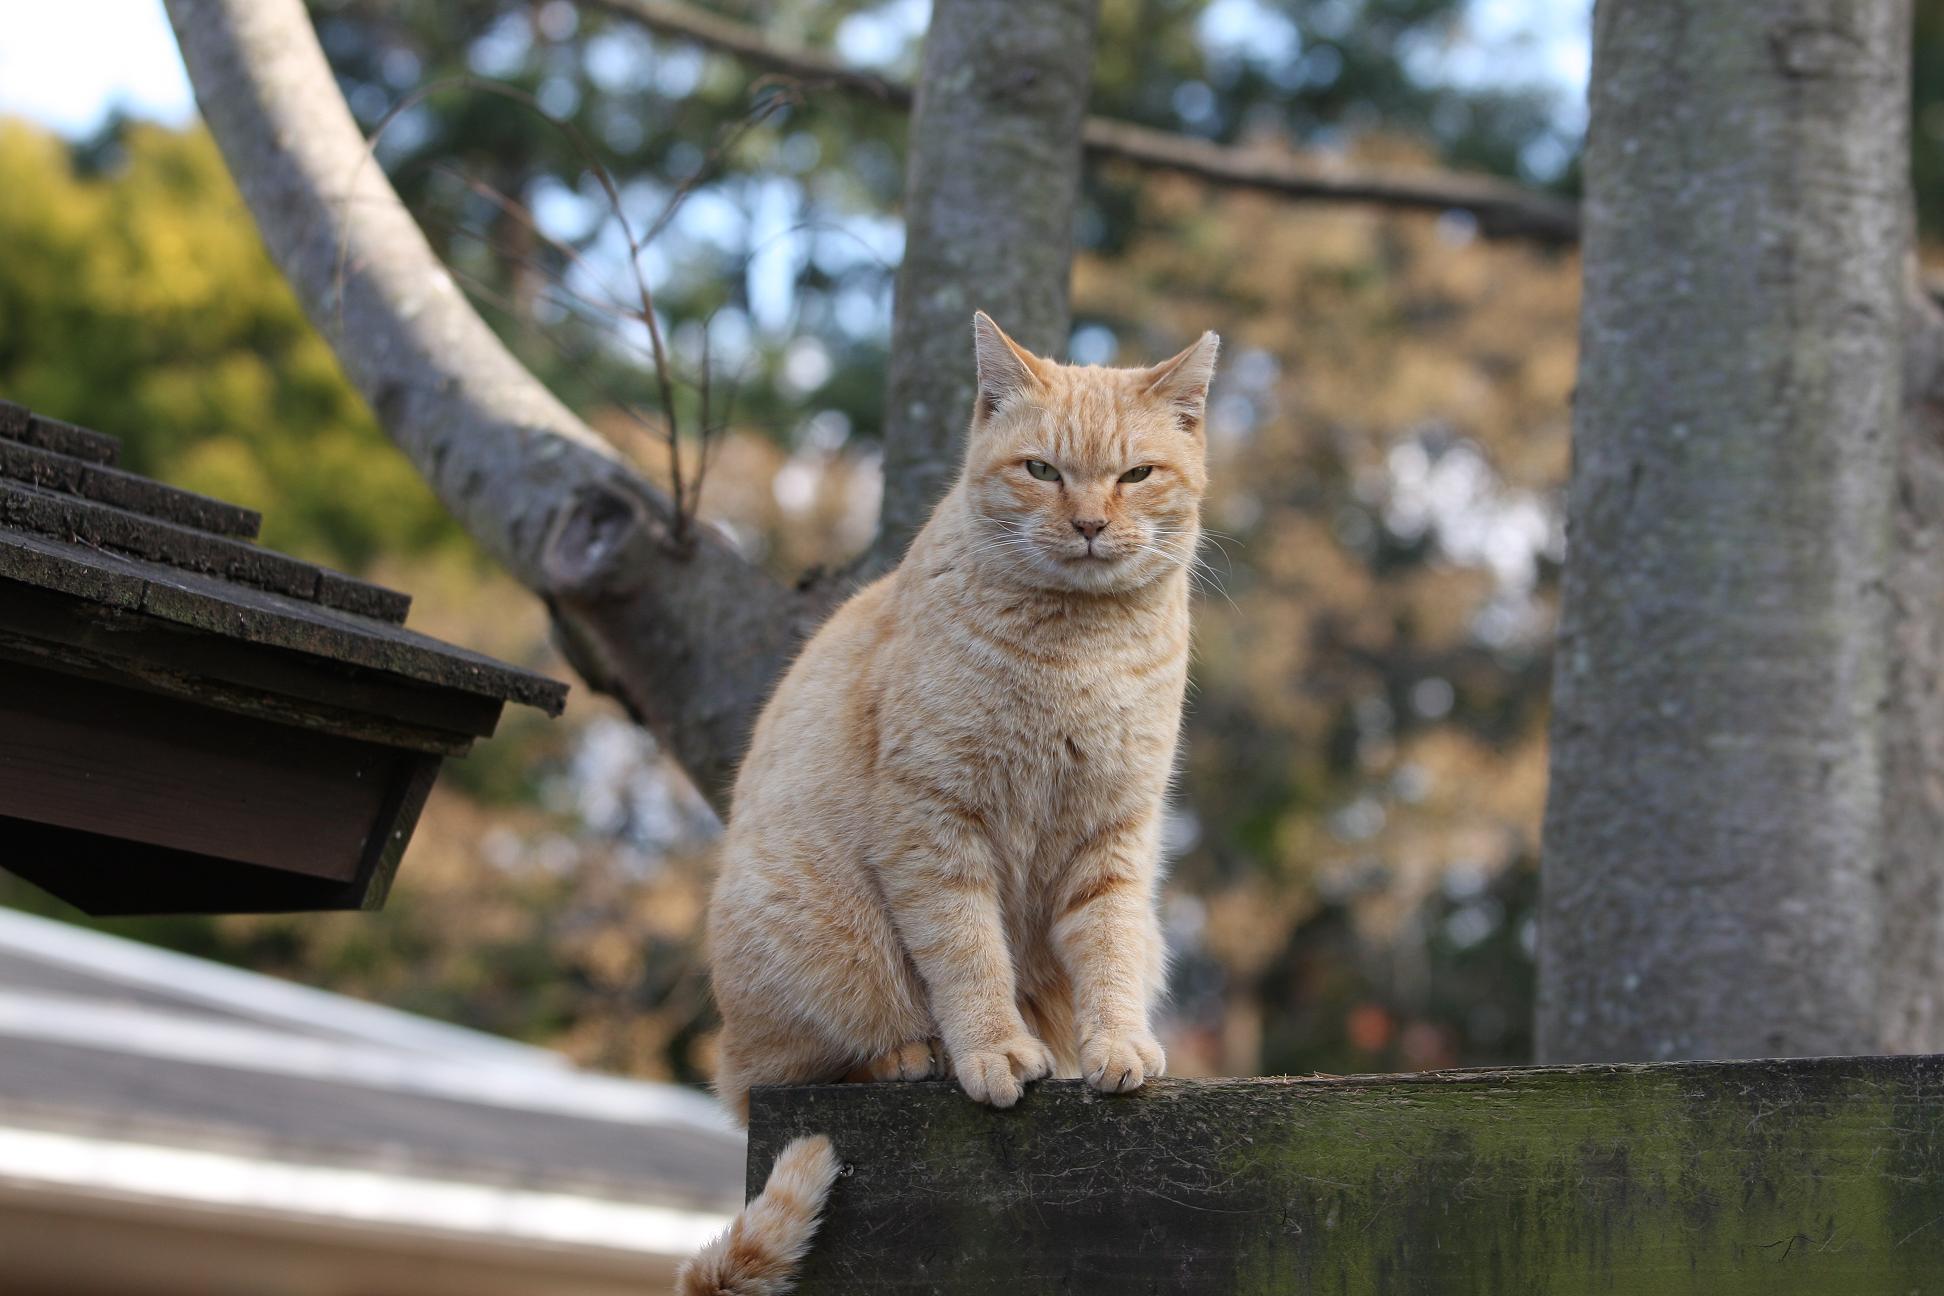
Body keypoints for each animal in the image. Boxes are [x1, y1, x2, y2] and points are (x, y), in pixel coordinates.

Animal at [680, 314, 1213, 1296]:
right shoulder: (936, 825)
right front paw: (995, 1051)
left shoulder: (1114, 841)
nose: (1089, 523)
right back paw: (909, 1055)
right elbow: (967, 955)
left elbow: (1111, 951)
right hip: (808, 955)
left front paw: (1114, 1043)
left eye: (1135, 474)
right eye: (1041, 469)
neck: (1076, 647)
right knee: (798, 1069)